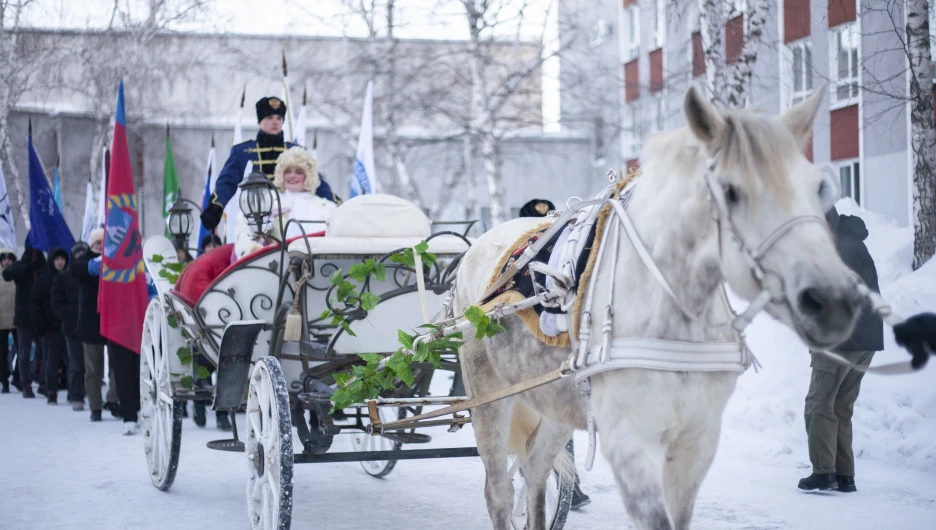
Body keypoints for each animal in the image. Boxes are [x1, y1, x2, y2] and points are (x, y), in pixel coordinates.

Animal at [456, 87, 864, 528]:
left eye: (818, 188)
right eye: (731, 191)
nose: (833, 300)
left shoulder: (696, 440)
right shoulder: (630, 440)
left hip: (554, 406)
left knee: (534, 470)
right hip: (489, 401)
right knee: (498, 490)